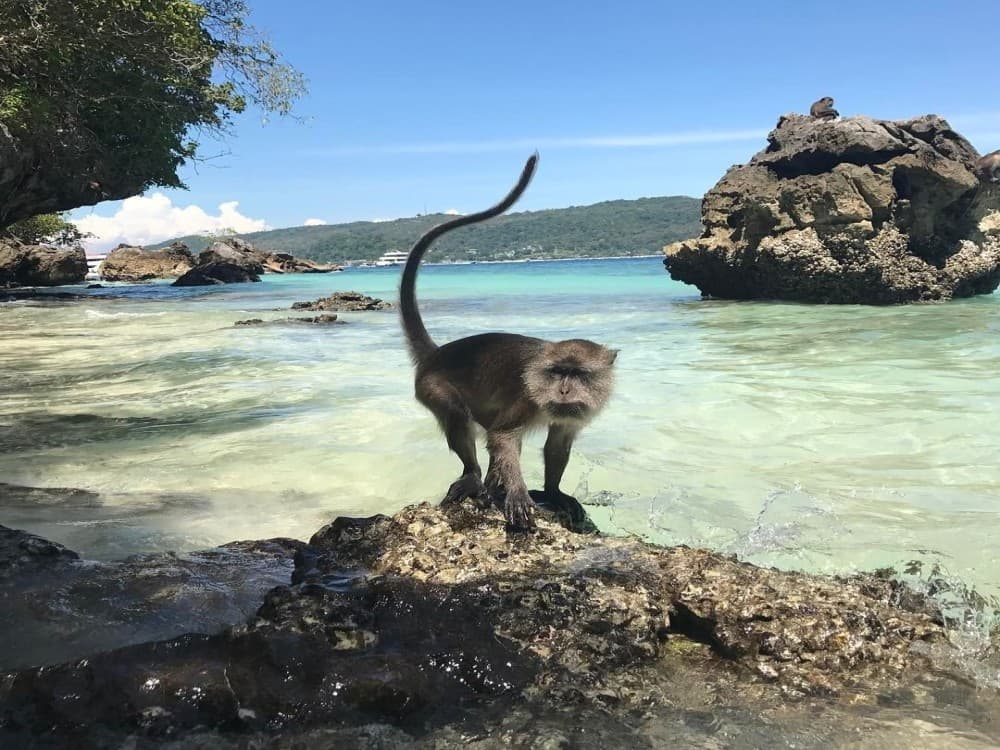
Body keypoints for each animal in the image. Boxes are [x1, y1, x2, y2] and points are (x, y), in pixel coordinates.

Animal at [399, 154, 617, 531]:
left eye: (579, 374)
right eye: (558, 372)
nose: (563, 390)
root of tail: (437, 354)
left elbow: (556, 444)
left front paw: (553, 492)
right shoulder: (526, 398)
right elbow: (503, 438)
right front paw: (517, 493)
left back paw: (490, 482)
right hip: (430, 386)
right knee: (459, 417)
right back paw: (475, 477)